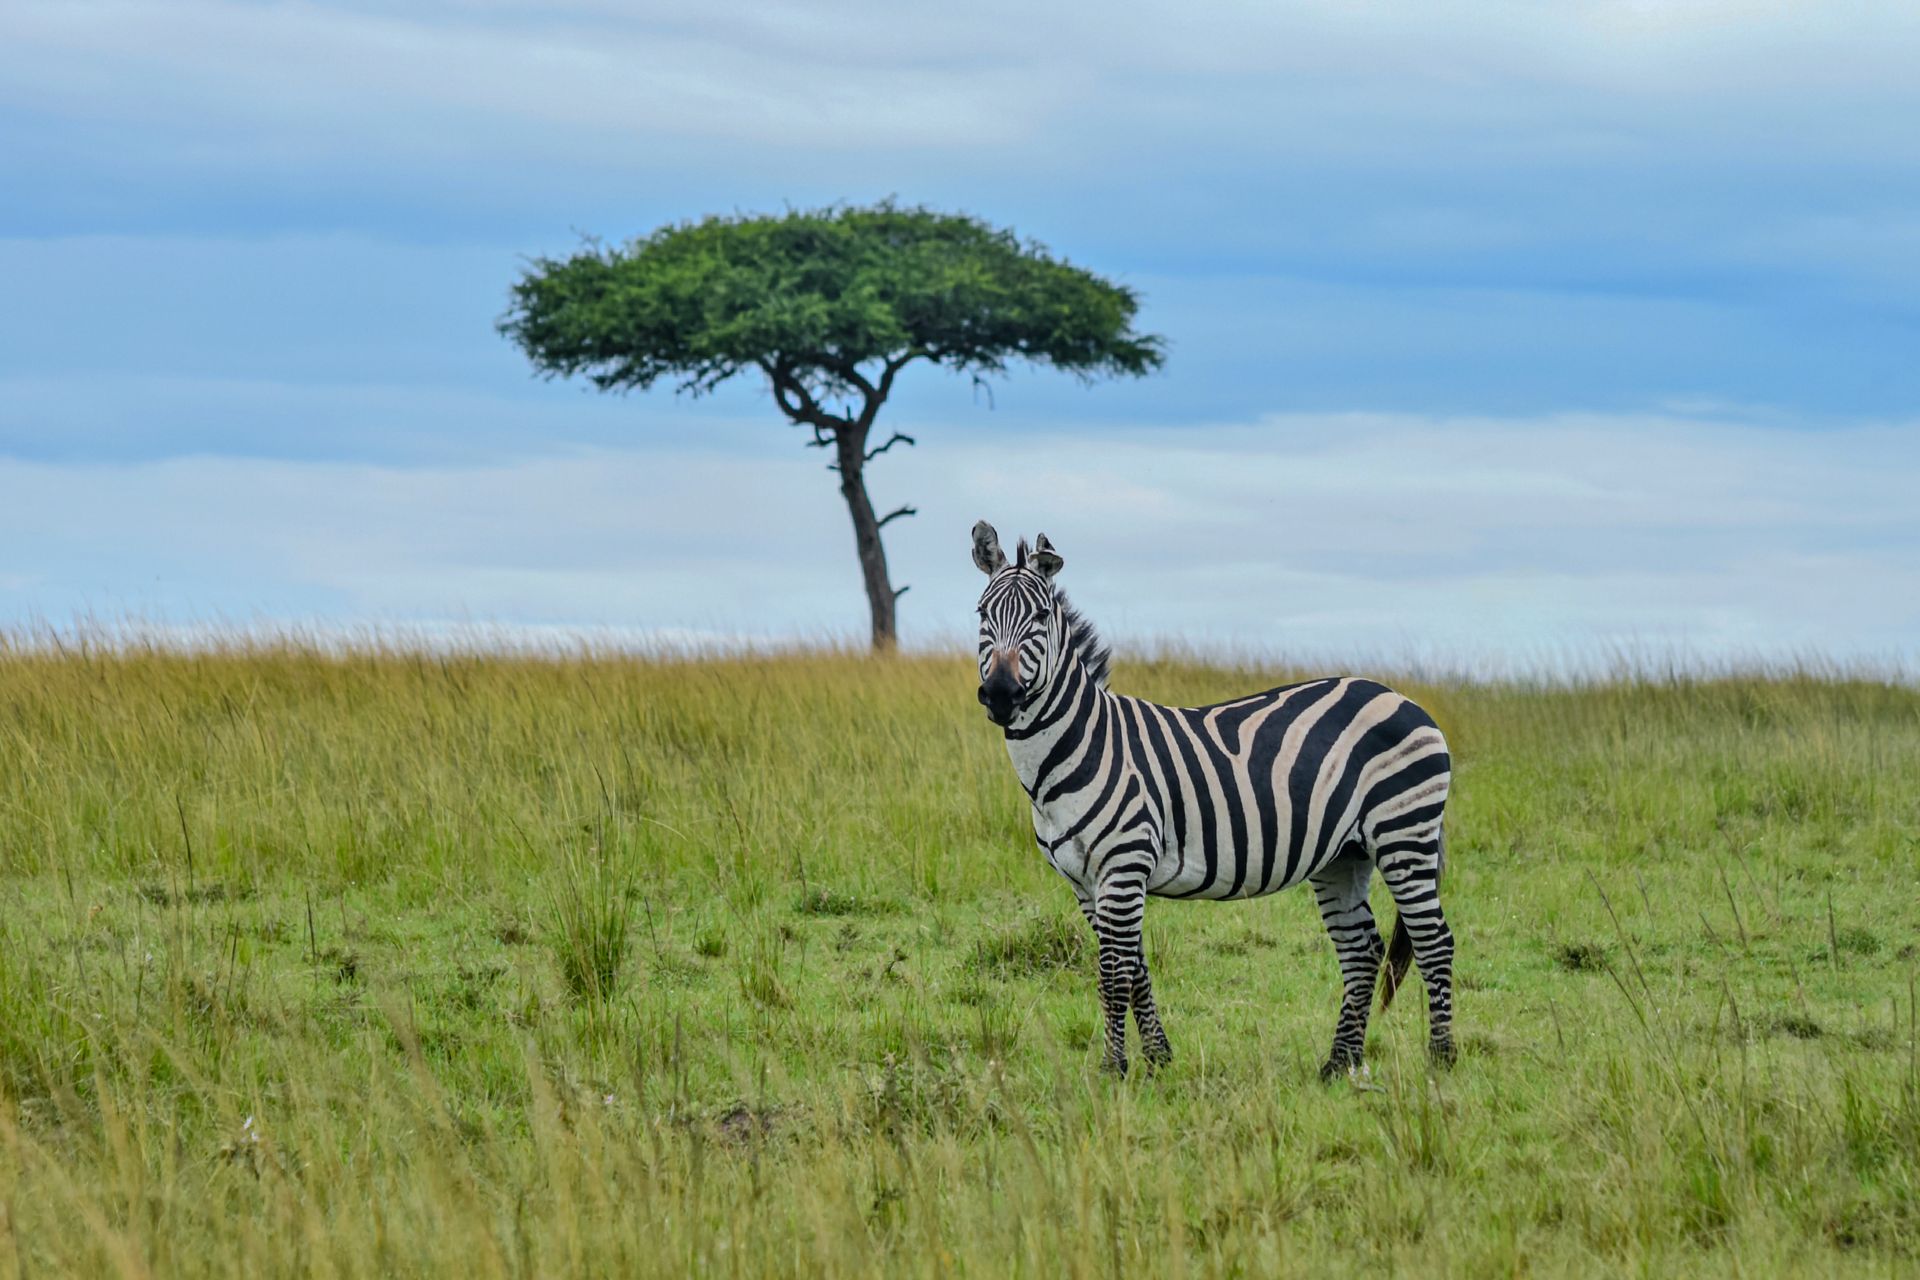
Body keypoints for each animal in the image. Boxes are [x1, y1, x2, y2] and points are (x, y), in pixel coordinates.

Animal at [971, 521, 1456, 1079]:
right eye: (982, 614)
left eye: (1040, 617)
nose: (1001, 695)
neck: (1079, 747)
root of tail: (1403, 698)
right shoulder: (1085, 884)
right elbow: (1136, 970)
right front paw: (1158, 1059)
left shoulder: (1123, 866)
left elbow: (1113, 976)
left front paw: (1115, 1072)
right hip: (1344, 855)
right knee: (1362, 950)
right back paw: (1338, 1065)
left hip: (1404, 835)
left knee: (1434, 942)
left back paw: (1441, 1061)